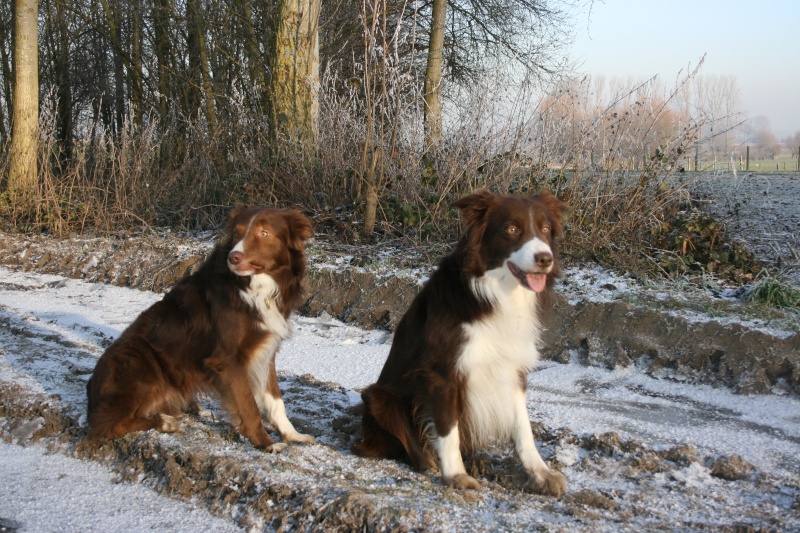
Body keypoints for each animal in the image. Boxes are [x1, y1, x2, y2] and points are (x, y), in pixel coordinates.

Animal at [86, 206, 312, 450]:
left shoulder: (265, 349)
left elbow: (275, 399)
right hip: (139, 362)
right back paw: (164, 422)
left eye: (264, 233)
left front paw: (293, 435)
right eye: (237, 233)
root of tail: (92, 393)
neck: (255, 287)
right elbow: (249, 405)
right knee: (106, 424)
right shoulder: (228, 358)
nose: (234, 257)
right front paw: (266, 444)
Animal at [354, 191, 564, 494]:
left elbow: (523, 429)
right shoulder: (442, 373)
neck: (495, 294)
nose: (545, 259)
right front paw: (455, 474)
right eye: (512, 229)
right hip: (378, 396)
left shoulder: (512, 368)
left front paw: (540, 473)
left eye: (545, 229)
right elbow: (447, 429)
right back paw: (427, 461)